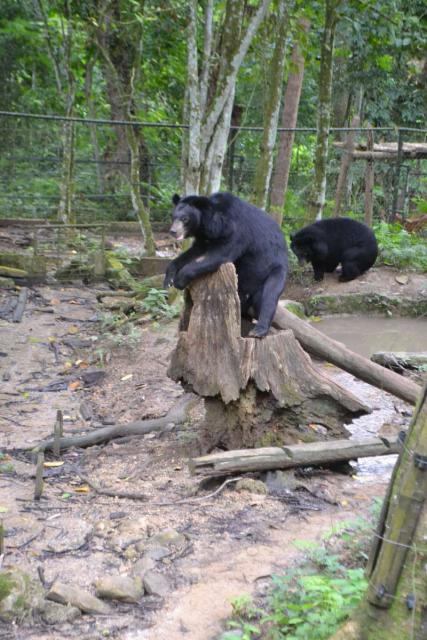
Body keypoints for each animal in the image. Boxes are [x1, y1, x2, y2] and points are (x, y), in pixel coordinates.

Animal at [164, 192, 288, 338]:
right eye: (173, 217)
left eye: (185, 219)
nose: (173, 231)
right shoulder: (205, 238)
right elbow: (193, 253)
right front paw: (169, 280)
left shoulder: (235, 231)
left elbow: (222, 254)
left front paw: (179, 280)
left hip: (275, 269)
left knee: (268, 296)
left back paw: (258, 330)